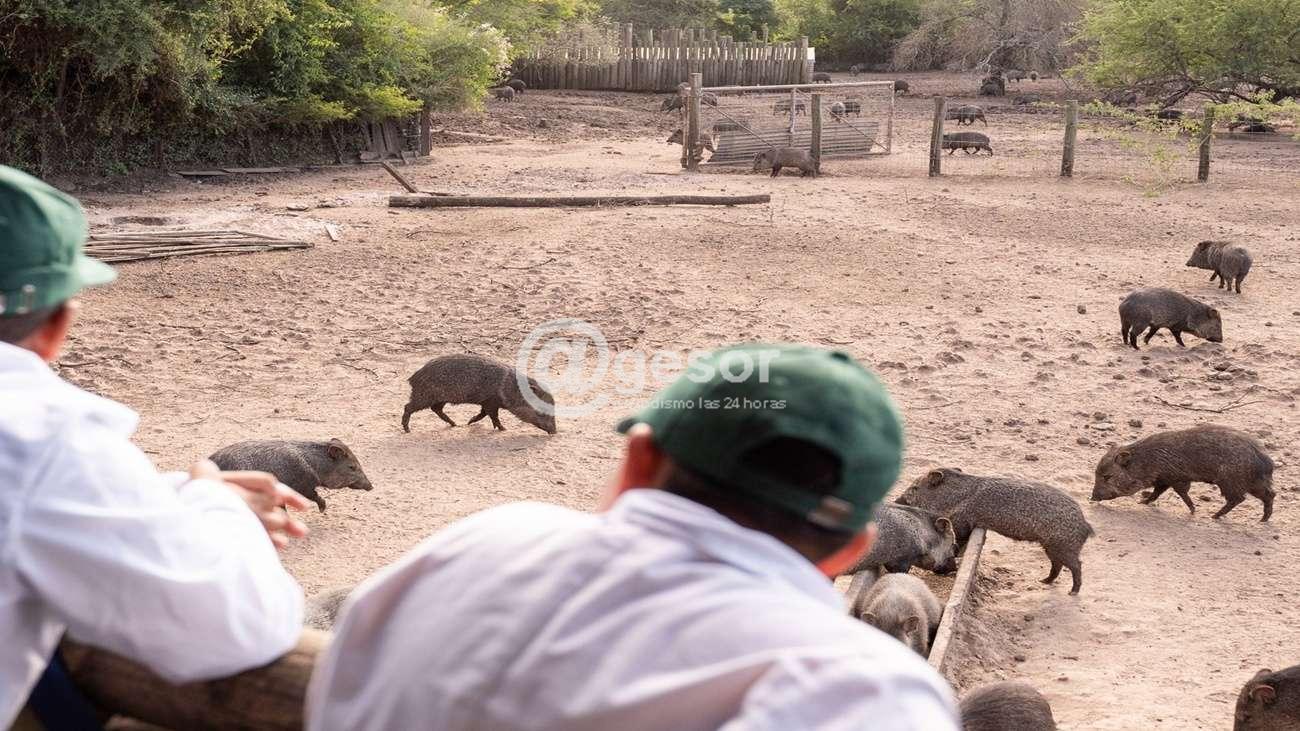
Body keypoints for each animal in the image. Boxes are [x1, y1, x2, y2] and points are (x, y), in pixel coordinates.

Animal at [210, 439, 373, 512]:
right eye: (352, 467)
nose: (371, 486)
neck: (315, 465)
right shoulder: (302, 486)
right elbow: (314, 497)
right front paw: (323, 509)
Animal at [1092, 425, 1275, 521]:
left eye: (1107, 476)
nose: (1092, 498)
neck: (1149, 460)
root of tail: (1264, 459)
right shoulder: (1164, 480)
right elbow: (1156, 494)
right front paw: (1143, 502)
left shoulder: (1176, 478)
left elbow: (1182, 494)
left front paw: (1193, 511)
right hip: (1254, 483)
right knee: (1270, 494)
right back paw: (1263, 519)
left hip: (1230, 482)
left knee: (1238, 499)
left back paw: (1214, 516)